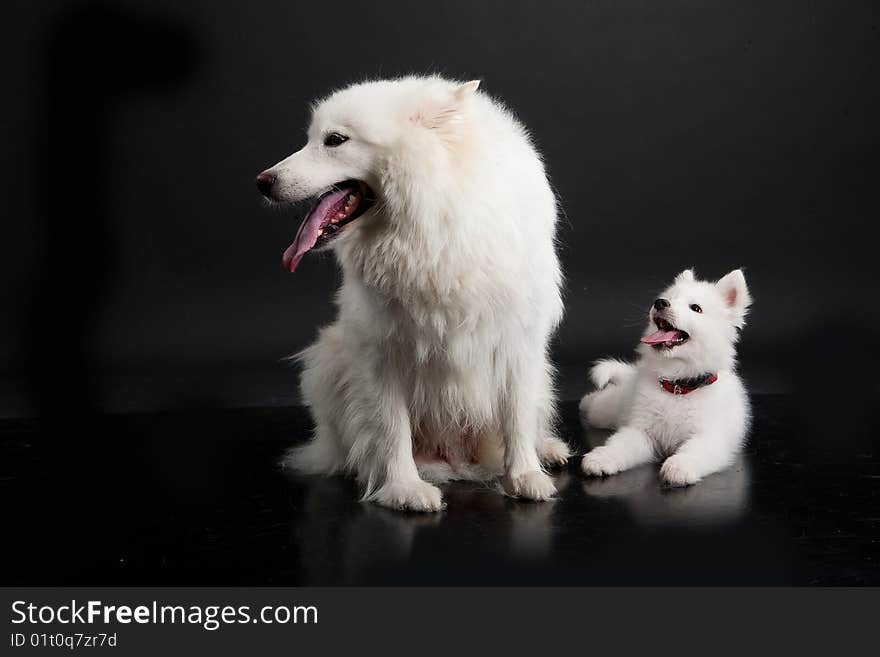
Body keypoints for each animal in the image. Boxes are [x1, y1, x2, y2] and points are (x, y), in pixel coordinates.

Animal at [258, 74, 568, 510]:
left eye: (334, 140)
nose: (262, 181)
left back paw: (548, 450)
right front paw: (403, 487)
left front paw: (525, 476)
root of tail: (456, 458)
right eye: (312, 138)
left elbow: (518, 418)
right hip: (329, 360)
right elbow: (391, 428)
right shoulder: (382, 348)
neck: (433, 231)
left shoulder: (518, 342)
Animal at [580, 268, 752, 486]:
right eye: (670, 298)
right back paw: (587, 401)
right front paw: (602, 457)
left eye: (695, 308)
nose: (660, 303)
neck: (679, 386)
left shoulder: (711, 437)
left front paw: (679, 466)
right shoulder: (642, 431)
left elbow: (695, 451)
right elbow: (620, 445)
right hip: (606, 411)